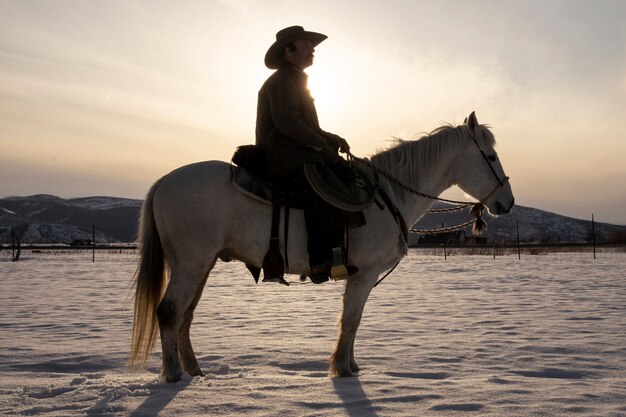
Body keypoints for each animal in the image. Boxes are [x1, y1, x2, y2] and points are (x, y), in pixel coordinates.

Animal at [128, 111, 512, 380]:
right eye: (491, 157)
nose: (507, 202)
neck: (389, 196)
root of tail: (163, 182)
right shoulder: (364, 273)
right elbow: (351, 320)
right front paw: (341, 368)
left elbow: (353, 321)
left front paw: (352, 366)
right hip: (190, 263)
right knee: (169, 312)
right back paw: (173, 376)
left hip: (201, 264)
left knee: (185, 315)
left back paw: (195, 371)